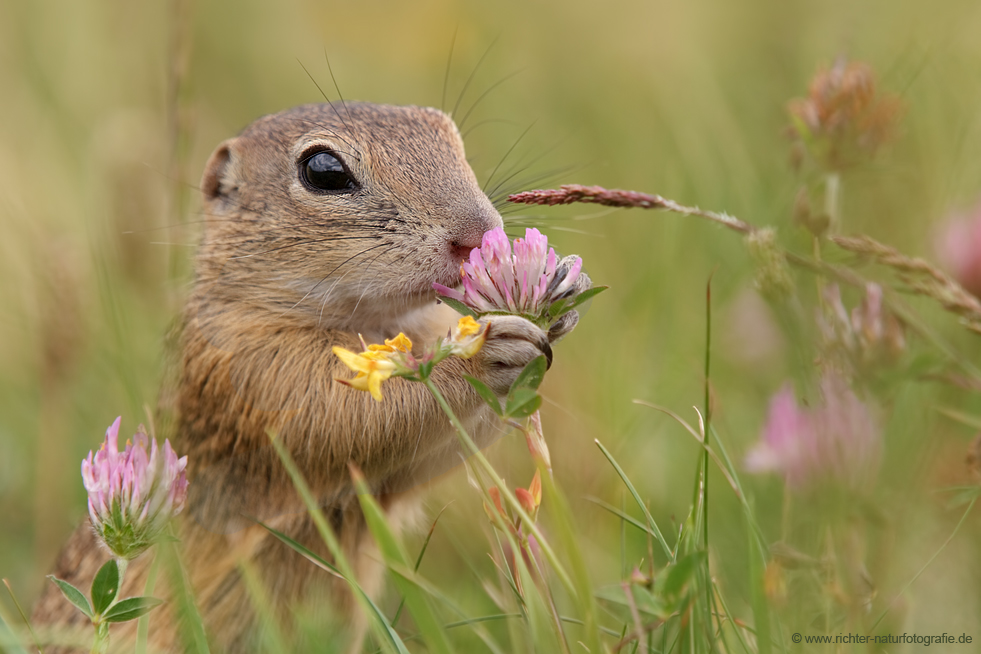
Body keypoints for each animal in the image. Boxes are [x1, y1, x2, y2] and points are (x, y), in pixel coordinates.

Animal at [32, 100, 580, 652]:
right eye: (323, 171)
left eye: (453, 139)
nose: (479, 234)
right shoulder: (252, 374)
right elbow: (352, 420)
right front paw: (488, 354)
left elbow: (424, 460)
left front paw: (556, 307)